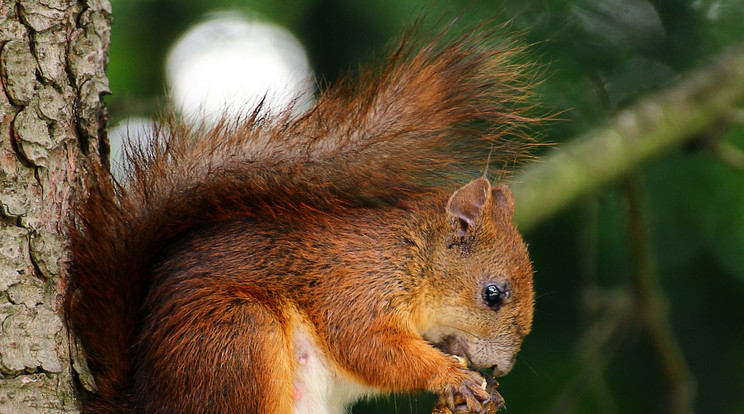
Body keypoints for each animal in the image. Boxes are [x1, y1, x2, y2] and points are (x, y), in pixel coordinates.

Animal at [65, 24, 536, 412]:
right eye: (493, 294)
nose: (504, 368)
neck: (411, 253)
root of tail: (145, 402)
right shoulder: (355, 284)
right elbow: (366, 345)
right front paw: (452, 375)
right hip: (238, 338)